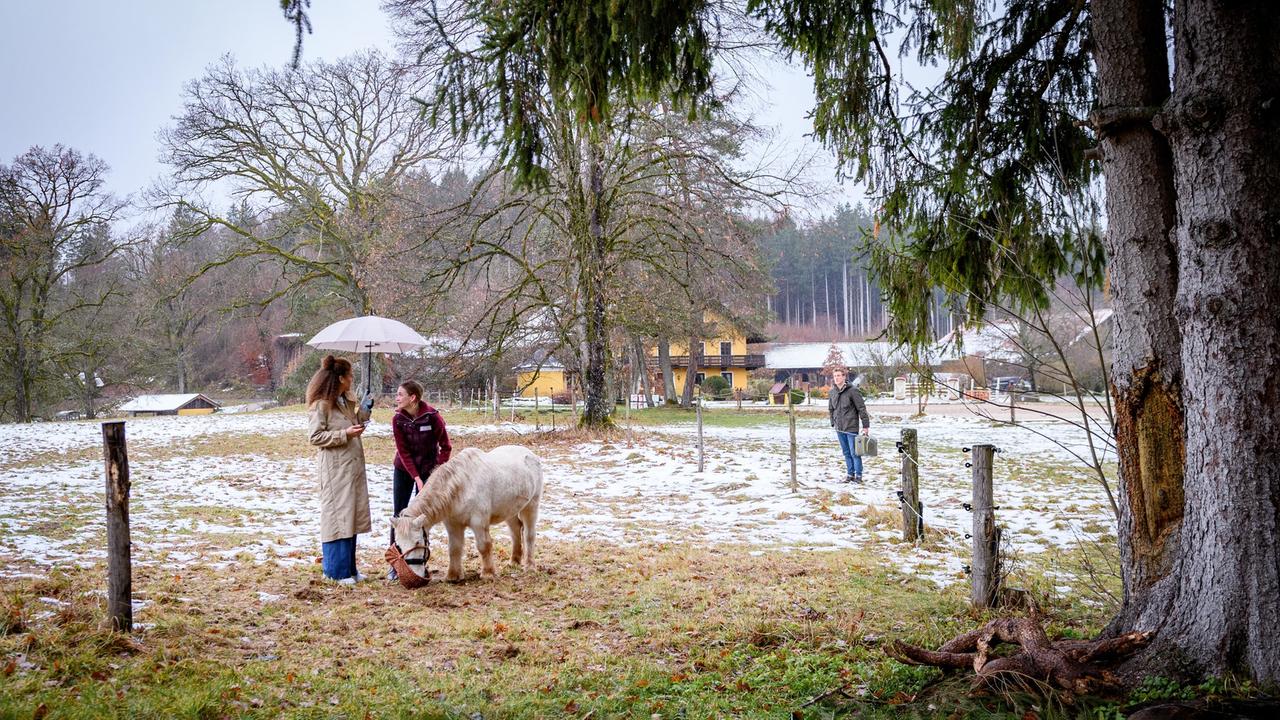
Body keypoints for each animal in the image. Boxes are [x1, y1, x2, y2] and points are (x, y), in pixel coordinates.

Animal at [394, 440, 545, 579]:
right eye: (399, 545)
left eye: (418, 542)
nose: (413, 574)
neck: (462, 485)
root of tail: (532, 455)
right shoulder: (453, 525)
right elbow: (454, 548)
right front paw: (453, 576)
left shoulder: (479, 522)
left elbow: (484, 546)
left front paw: (488, 573)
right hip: (510, 510)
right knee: (515, 531)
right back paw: (514, 561)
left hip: (531, 506)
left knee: (529, 535)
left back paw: (530, 566)